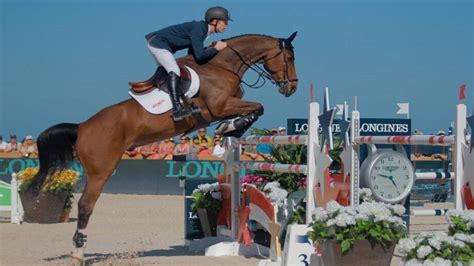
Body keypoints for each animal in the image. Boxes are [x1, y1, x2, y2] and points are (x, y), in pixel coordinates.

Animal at [27, 32, 298, 260]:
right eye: (289, 57)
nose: (292, 87)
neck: (222, 66)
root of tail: (81, 127)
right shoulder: (220, 106)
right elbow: (258, 107)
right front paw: (233, 126)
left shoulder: (227, 105)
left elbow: (253, 110)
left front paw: (231, 128)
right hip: (102, 170)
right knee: (85, 206)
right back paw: (78, 252)